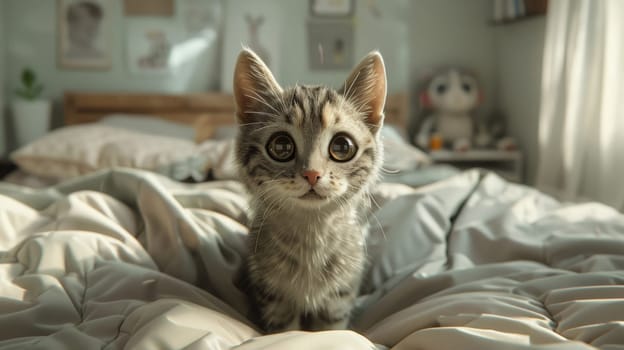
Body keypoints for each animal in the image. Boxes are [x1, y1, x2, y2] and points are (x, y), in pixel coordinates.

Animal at [233, 47, 386, 332]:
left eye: (342, 147)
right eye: (281, 146)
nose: (312, 174)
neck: (312, 232)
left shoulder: (339, 300)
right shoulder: (274, 300)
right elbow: (288, 333)